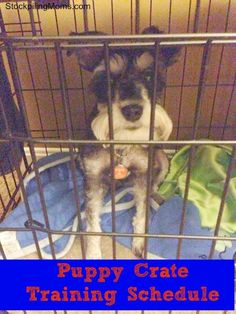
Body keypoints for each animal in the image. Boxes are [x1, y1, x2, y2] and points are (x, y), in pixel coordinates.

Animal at [67, 26, 180, 258]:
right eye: (108, 80)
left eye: (149, 75)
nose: (133, 110)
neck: (122, 146)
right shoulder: (93, 177)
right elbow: (92, 220)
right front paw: (93, 253)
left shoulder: (143, 173)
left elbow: (143, 210)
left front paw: (139, 242)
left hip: (162, 159)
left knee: (155, 183)